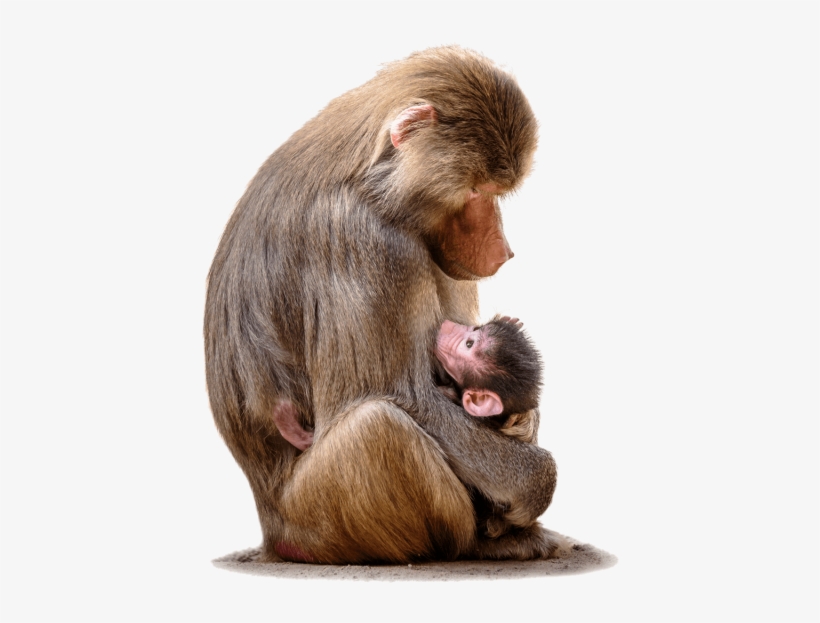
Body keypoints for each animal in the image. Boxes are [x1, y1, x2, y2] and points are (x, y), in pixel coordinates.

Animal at [205, 46, 565, 564]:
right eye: (477, 190)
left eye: (496, 191)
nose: (503, 251)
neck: (372, 178)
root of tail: (273, 534)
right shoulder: (365, 241)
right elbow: (402, 395)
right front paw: (533, 482)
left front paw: (524, 421)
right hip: (317, 521)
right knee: (378, 427)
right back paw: (474, 544)